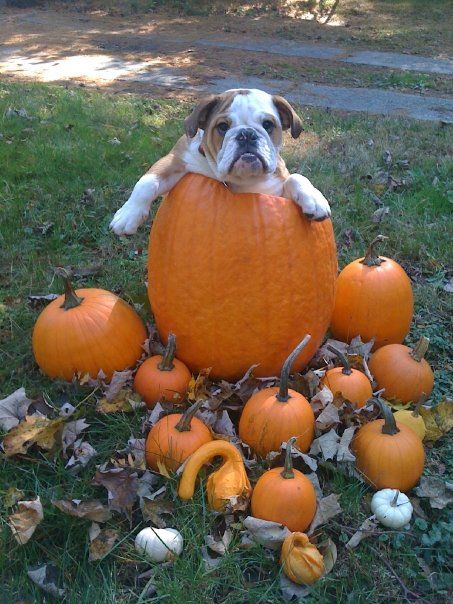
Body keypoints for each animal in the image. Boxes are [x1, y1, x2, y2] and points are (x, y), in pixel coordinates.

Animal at [110, 88, 331, 235]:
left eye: (268, 124)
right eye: (223, 127)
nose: (246, 134)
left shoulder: (275, 193)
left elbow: (296, 177)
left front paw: (314, 199)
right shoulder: (175, 160)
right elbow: (146, 183)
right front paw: (128, 215)